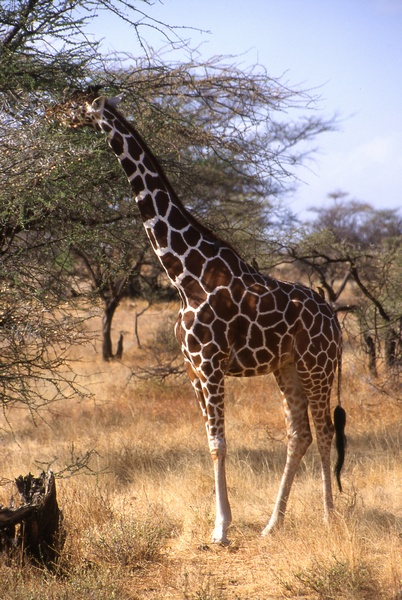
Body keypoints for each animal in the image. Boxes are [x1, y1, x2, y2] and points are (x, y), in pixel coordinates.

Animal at [55, 90, 346, 544]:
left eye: (74, 103)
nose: (50, 113)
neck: (185, 273)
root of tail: (334, 319)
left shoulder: (211, 365)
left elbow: (219, 444)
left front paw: (221, 528)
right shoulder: (192, 368)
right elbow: (209, 441)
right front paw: (223, 523)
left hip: (317, 365)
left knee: (324, 430)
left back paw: (329, 518)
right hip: (287, 366)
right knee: (299, 433)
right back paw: (272, 524)